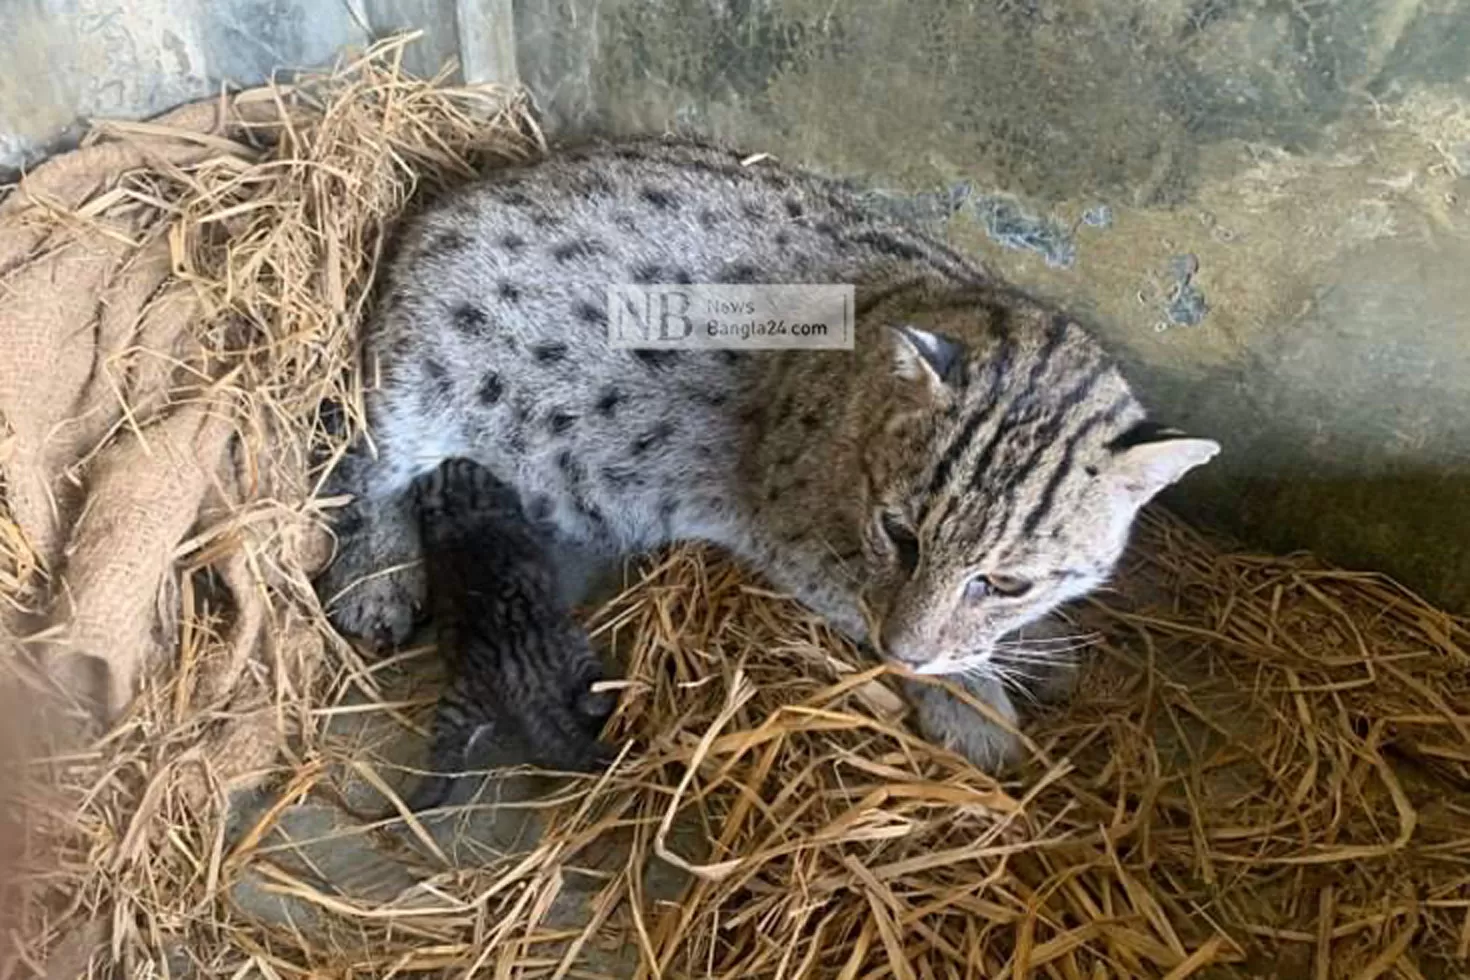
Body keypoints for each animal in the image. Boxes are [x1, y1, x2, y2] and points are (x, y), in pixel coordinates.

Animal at [318, 132, 1217, 775]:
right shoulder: (790, 534)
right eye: (901, 536)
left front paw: (1021, 650)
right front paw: (973, 699)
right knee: (364, 461)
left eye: (1007, 582)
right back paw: (377, 573)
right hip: (422, 370)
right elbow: (865, 606)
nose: (905, 651)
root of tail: (442, 200)